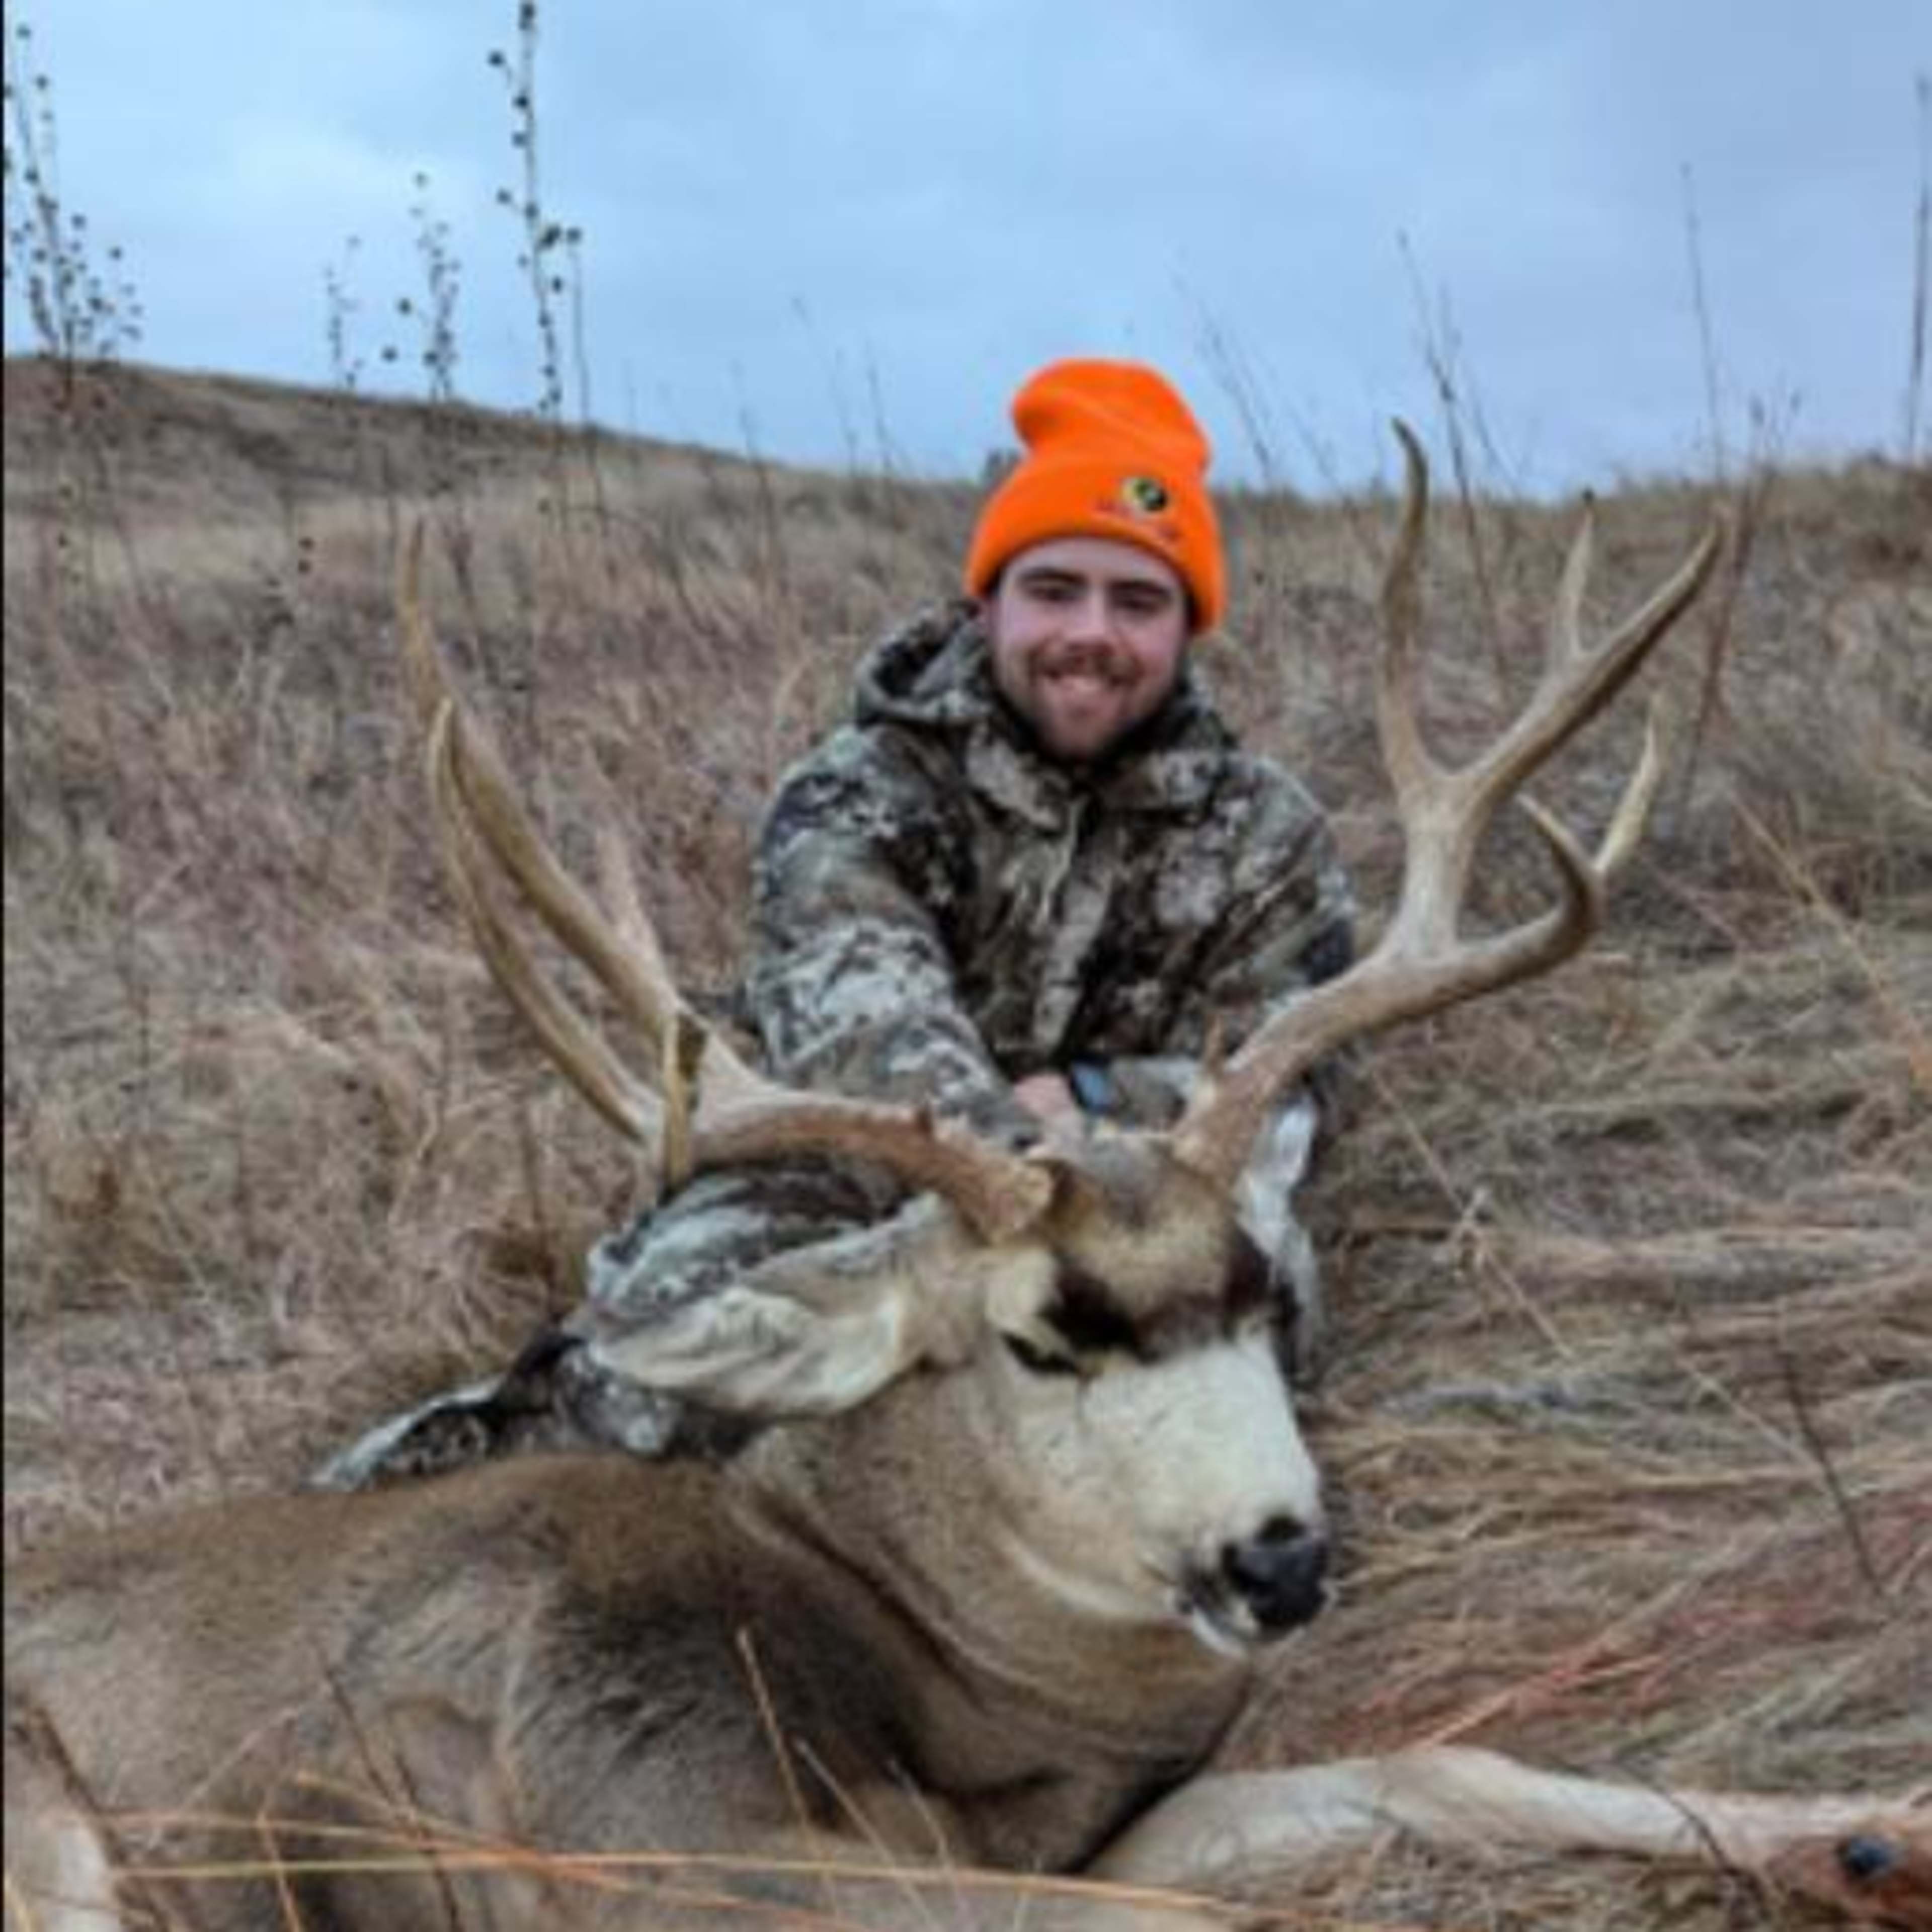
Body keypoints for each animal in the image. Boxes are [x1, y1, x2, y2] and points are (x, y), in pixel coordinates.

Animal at [6, 428, 1926, 1932]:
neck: (903, 1653)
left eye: (1258, 1293)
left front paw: (1868, 1831)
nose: (1282, 1560)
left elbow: (1439, 1766)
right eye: (1039, 1334)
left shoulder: (1113, 1814)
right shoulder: (646, 1833)